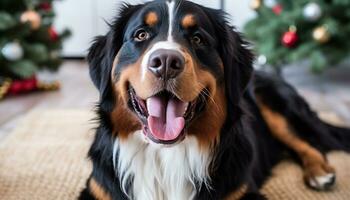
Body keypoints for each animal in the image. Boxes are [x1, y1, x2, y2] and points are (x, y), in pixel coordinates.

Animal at [79, 0, 350, 199]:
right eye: (141, 35)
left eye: (198, 39)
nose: (166, 61)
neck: (166, 157)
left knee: (306, 142)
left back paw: (320, 172)